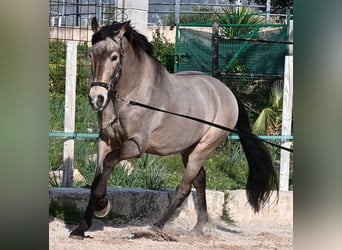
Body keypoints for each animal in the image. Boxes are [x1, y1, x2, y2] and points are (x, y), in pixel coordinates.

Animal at [70, 18, 278, 238]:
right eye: (91, 54)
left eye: (114, 57)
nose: (96, 99)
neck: (130, 96)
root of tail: (227, 92)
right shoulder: (105, 140)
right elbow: (96, 179)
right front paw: (81, 228)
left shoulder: (136, 145)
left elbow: (109, 162)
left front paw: (102, 205)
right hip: (188, 149)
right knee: (200, 179)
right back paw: (198, 227)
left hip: (203, 148)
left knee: (184, 188)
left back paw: (155, 228)